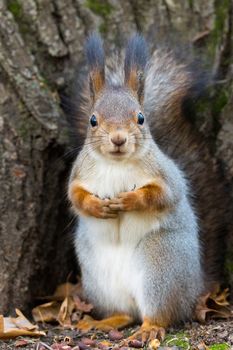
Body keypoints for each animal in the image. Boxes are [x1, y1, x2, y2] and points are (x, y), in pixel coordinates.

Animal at [67, 33, 228, 342]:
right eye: (93, 120)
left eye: (141, 118)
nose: (118, 139)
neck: (116, 164)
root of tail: (196, 288)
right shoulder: (78, 175)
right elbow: (76, 198)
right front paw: (98, 206)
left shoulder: (166, 175)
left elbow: (162, 195)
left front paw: (129, 200)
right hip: (99, 280)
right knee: (126, 314)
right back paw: (103, 322)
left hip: (159, 267)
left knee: (160, 314)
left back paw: (149, 328)